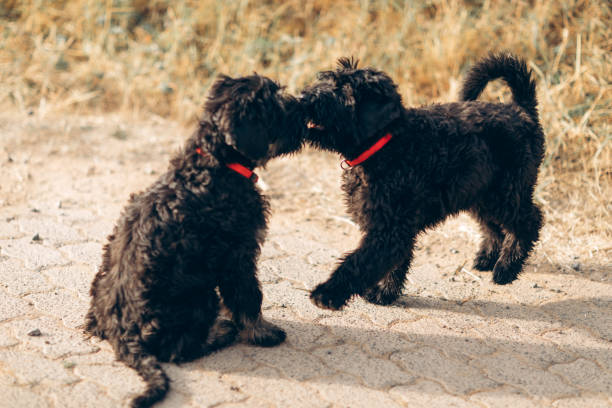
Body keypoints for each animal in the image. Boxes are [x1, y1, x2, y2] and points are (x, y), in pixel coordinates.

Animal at [85, 75, 304, 406]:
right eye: (277, 108)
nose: (306, 112)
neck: (215, 164)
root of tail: (123, 332)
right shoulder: (238, 255)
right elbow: (249, 297)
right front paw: (262, 333)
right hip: (200, 294)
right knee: (180, 349)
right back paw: (219, 333)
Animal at [302, 52, 544, 310]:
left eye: (344, 90)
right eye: (328, 80)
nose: (305, 97)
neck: (388, 144)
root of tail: (521, 111)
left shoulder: (391, 229)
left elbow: (359, 263)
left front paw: (328, 293)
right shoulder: (394, 227)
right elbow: (393, 263)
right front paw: (384, 292)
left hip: (506, 193)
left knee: (530, 221)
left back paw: (506, 268)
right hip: (479, 194)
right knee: (494, 227)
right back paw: (488, 258)